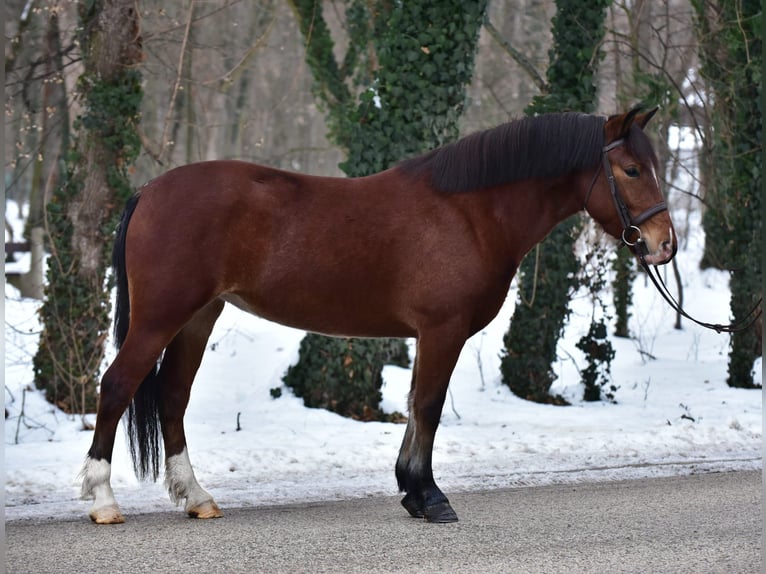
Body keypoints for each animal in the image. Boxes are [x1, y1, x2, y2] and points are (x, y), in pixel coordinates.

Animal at [81, 107, 676, 524]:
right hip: (161, 318)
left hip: (196, 318)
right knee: (117, 387)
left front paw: (412, 493)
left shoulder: (430, 335)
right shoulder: (442, 330)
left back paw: (197, 497)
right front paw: (430, 498)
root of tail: (149, 191)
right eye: (630, 169)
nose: (663, 245)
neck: (470, 212)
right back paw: (103, 501)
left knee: (173, 398)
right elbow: (428, 408)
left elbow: (415, 407)